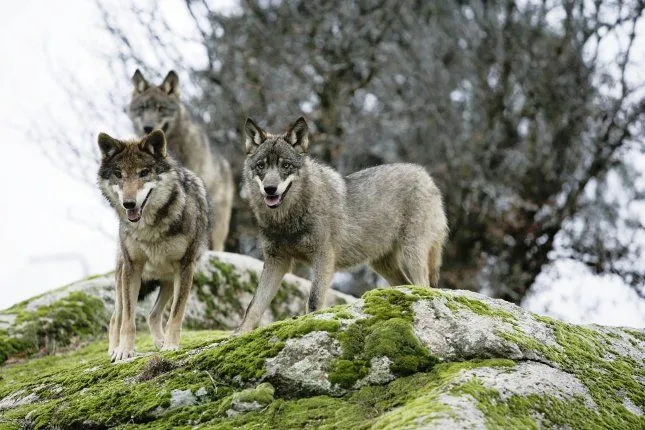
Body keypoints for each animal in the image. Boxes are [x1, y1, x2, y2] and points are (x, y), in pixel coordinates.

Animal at [97, 129, 211, 362]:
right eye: (118, 174)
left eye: (144, 173)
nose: (129, 204)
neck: (149, 228)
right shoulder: (132, 268)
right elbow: (128, 319)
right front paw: (125, 351)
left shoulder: (185, 267)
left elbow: (176, 314)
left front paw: (170, 346)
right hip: (123, 278)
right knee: (115, 318)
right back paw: (114, 349)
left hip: (168, 280)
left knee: (152, 315)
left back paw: (160, 342)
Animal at [238, 116, 448, 332]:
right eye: (261, 166)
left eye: (286, 165)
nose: (270, 189)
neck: (286, 220)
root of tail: (425, 175)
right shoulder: (276, 261)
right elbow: (253, 306)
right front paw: (239, 334)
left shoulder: (323, 257)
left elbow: (313, 301)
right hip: (382, 264)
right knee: (407, 284)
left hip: (412, 253)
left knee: (424, 286)